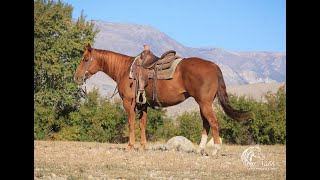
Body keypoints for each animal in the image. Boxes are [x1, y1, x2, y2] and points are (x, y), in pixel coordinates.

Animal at [74, 44, 251, 156]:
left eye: (85, 59)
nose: (76, 78)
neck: (124, 70)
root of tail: (214, 66)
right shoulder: (143, 104)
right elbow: (142, 124)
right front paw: (143, 147)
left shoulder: (129, 103)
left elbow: (131, 123)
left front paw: (130, 146)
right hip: (202, 104)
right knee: (206, 123)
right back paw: (199, 149)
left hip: (205, 103)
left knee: (213, 122)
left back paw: (215, 149)